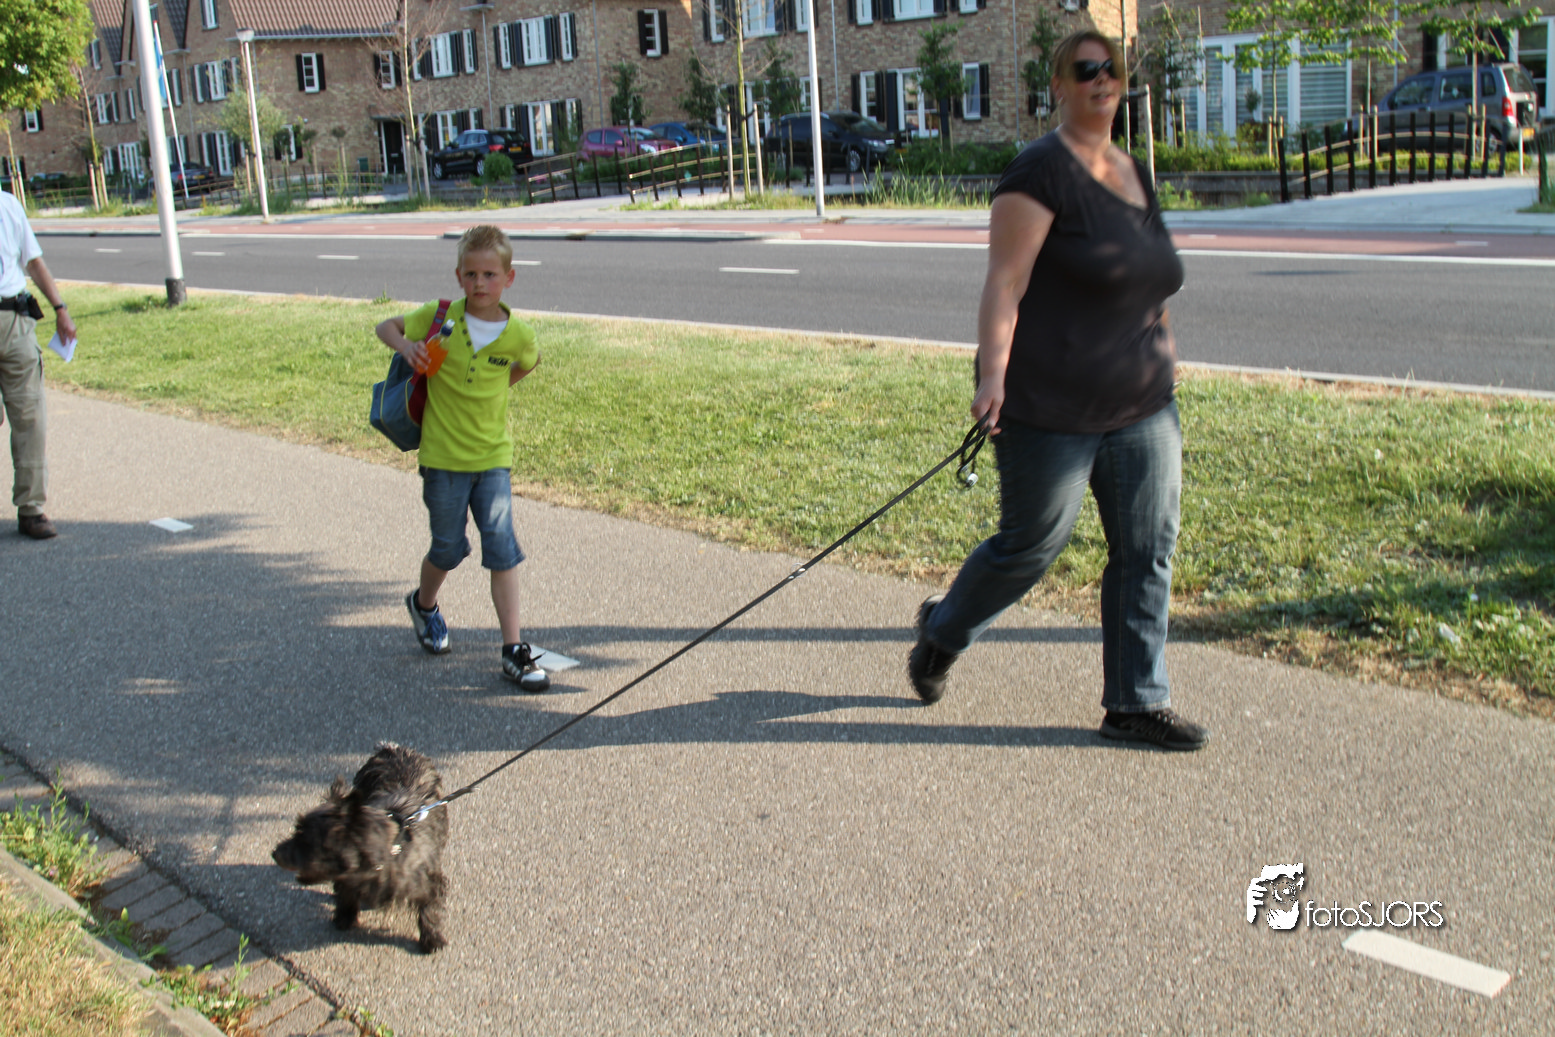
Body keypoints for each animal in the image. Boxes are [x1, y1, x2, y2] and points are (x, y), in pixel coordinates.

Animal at [272, 742, 451, 953]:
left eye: (304, 840)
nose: (274, 853)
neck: (390, 850)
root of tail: (392, 748)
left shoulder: (429, 882)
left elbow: (430, 911)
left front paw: (432, 939)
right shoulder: (348, 880)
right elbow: (346, 895)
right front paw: (344, 918)